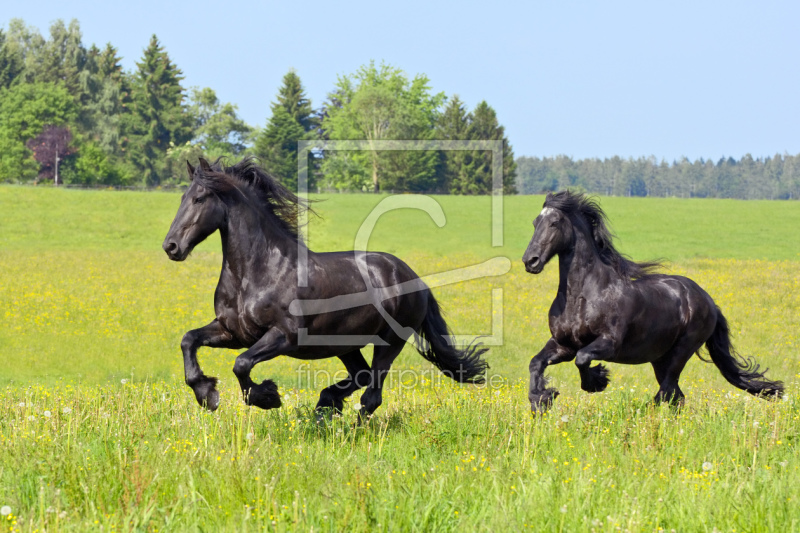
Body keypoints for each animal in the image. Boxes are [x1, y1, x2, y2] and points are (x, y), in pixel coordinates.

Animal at [162, 157, 488, 416]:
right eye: (182, 198)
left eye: (200, 199)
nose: (171, 247)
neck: (259, 272)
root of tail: (415, 279)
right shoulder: (233, 332)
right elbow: (188, 340)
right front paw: (207, 394)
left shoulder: (283, 336)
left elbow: (241, 364)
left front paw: (267, 397)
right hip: (344, 344)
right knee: (361, 377)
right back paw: (325, 405)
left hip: (389, 343)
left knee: (372, 395)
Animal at [520, 191, 784, 412]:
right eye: (534, 223)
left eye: (554, 222)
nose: (530, 261)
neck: (582, 296)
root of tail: (709, 302)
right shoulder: (563, 345)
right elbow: (535, 363)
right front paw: (541, 399)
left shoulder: (609, 343)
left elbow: (583, 358)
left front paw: (597, 380)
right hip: (660, 358)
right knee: (676, 396)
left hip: (681, 351)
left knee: (667, 392)